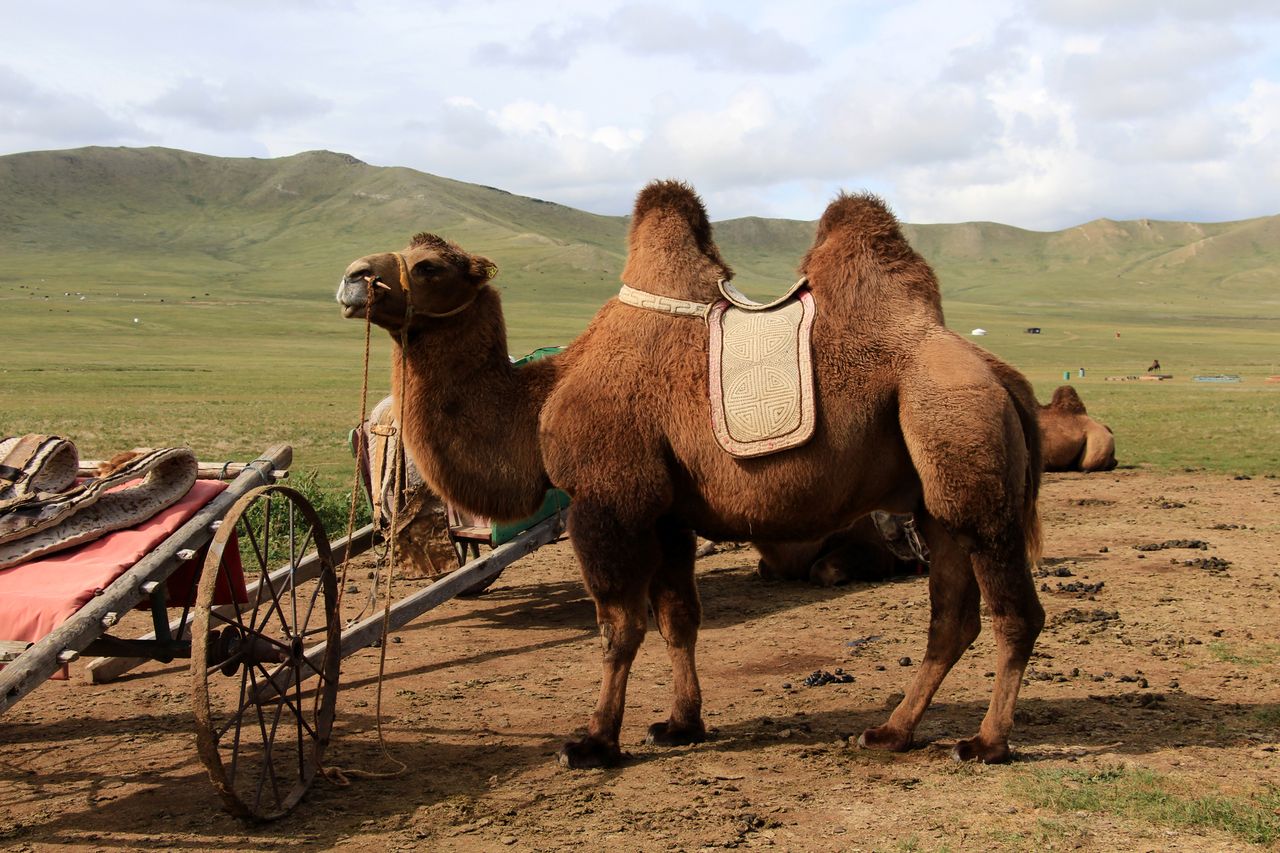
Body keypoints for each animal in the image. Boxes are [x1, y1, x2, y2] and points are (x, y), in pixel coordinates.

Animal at [335, 182, 1045, 770]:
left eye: (429, 265)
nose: (353, 280)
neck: (540, 398)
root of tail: (1001, 375)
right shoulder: (668, 513)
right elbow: (678, 617)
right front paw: (680, 724)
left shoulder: (609, 500)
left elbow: (618, 626)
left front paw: (593, 743)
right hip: (932, 499)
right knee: (951, 617)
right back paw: (891, 732)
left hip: (960, 438)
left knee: (1015, 611)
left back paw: (986, 743)